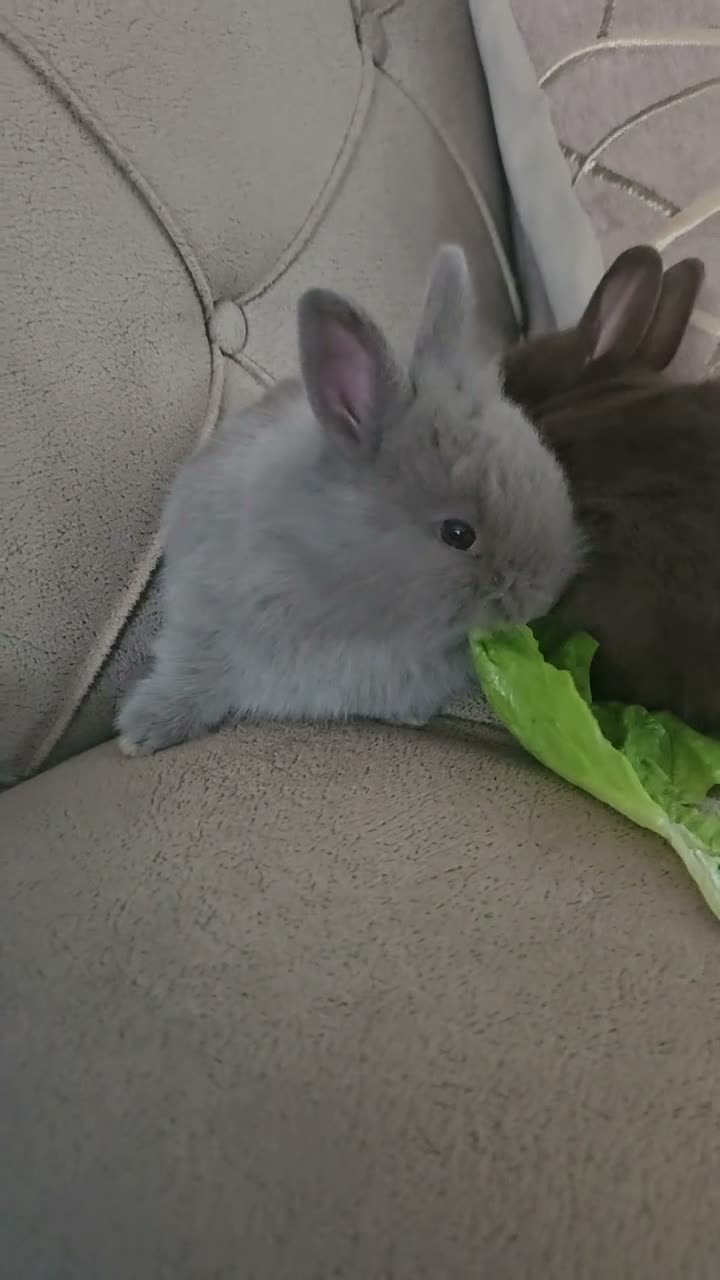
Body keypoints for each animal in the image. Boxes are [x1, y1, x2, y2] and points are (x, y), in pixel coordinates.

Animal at [116, 244, 581, 756]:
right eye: (458, 533)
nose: (540, 600)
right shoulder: (202, 623)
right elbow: (189, 677)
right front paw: (140, 734)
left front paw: (409, 716)